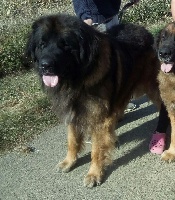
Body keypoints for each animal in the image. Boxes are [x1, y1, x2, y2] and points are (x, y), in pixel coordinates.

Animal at [25, 14, 161, 188]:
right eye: (42, 44)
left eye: (65, 45)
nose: (45, 66)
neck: (78, 79)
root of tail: (146, 31)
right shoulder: (72, 113)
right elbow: (72, 140)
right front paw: (69, 161)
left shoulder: (98, 119)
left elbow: (96, 150)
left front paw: (94, 173)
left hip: (153, 88)